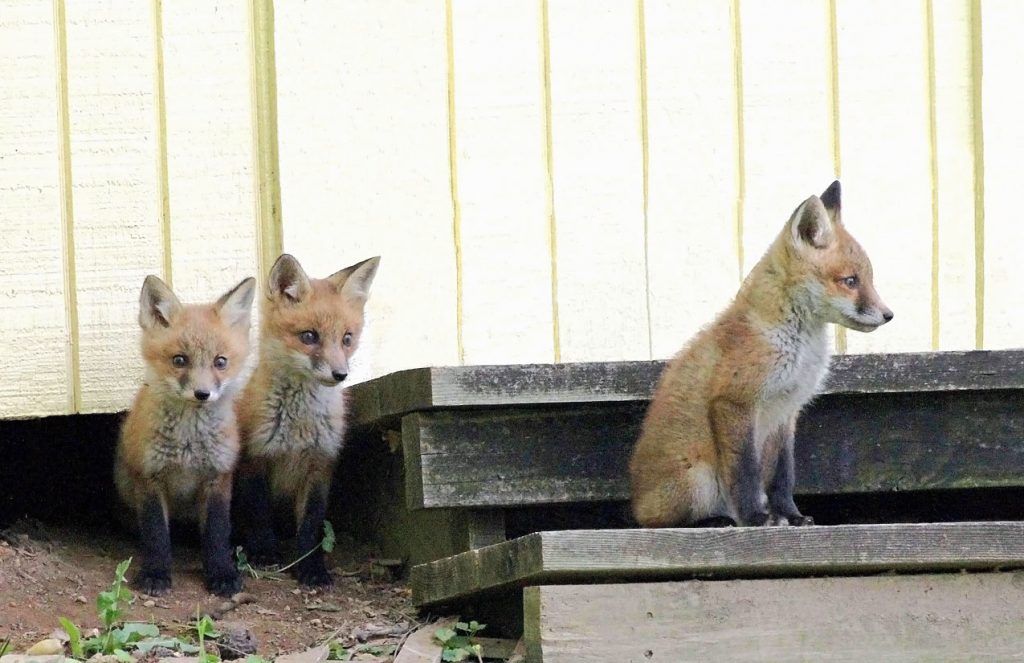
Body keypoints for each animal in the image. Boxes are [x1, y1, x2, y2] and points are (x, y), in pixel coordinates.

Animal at [115, 274, 256, 596]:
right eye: (179, 360)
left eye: (220, 362)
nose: (202, 394)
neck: (188, 446)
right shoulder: (150, 477)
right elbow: (156, 535)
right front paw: (155, 573)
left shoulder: (218, 477)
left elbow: (217, 534)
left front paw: (222, 574)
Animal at [234, 253, 380, 587]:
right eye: (309, 336)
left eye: (347, 339)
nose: (340, 374)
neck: (298, 428)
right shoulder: (256, 459)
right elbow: (259, 516)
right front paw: (265, 554)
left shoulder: (320, 465)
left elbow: (311, 527)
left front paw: (311, 567)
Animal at [630, 181, 892, 528]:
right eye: (850, 281)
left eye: (869, 280)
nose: (889, 315)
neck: (798, 345)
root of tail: (635, 503)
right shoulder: (735, 400)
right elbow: (746, 473)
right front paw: (755, 517)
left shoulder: (787, 411)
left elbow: (783, 476)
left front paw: (791, 516)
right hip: (697, 479)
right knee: (660, 522)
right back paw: (713, 521)